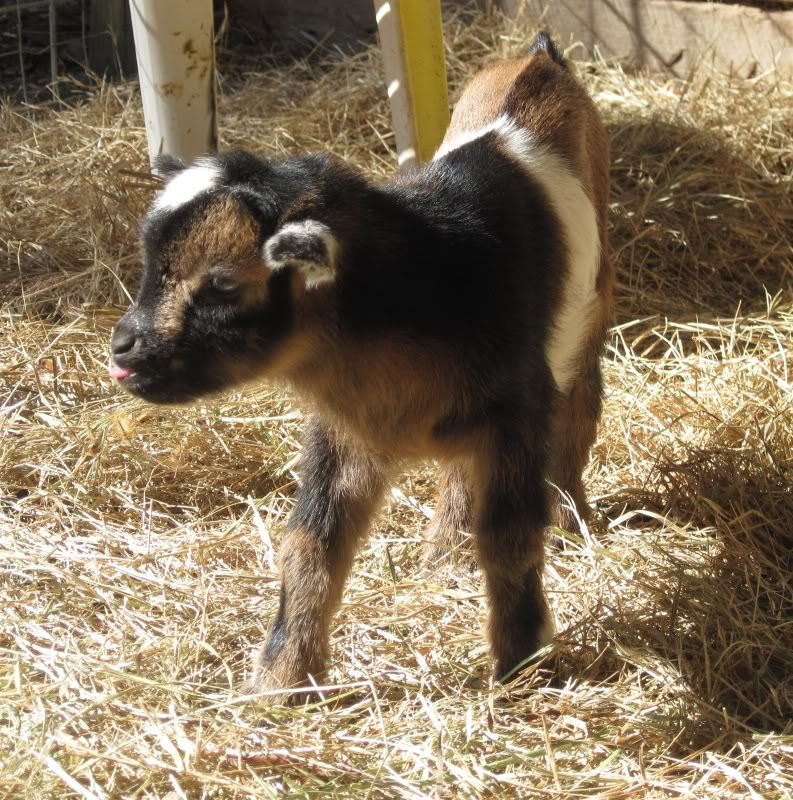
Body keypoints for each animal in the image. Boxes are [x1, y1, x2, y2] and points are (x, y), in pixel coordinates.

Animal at [110, 33, 612, 697]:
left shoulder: (518, 414)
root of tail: (538, 56)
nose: (123, 348)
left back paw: (573, 516)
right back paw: (442, 556)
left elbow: (508, 536)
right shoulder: (347, 433)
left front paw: (523, 667)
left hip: (593, 310)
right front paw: (279, 682)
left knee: (582, 405)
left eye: (221, 284)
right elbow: (312, 542)